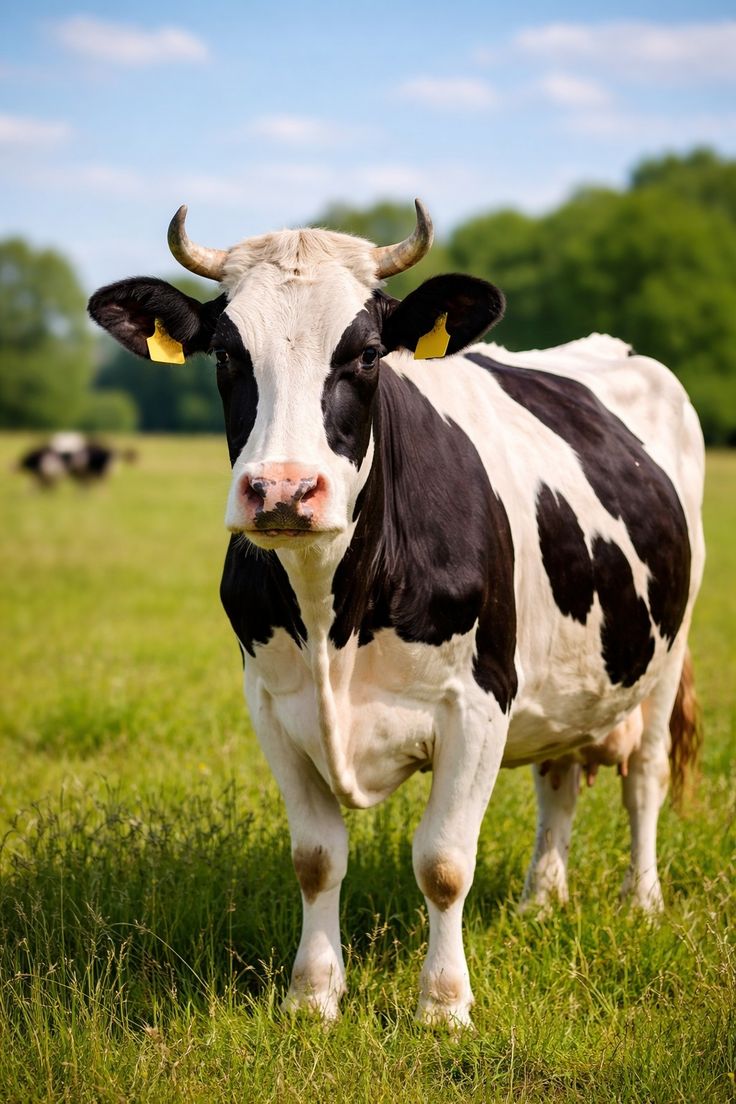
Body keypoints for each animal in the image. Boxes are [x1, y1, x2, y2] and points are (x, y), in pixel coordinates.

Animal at [88, 201, 705, 1029]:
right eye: (224, 352)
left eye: (370, 354)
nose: (283, 490)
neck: (332, 618)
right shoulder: (270, 702)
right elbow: (316, 858)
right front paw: (312, 996)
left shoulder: (478, 701)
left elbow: (443, 862)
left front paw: (443, 1007)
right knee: (559, 778)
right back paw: (541, 901)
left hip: (665, 657)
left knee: (645, 776)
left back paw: (642, 902)